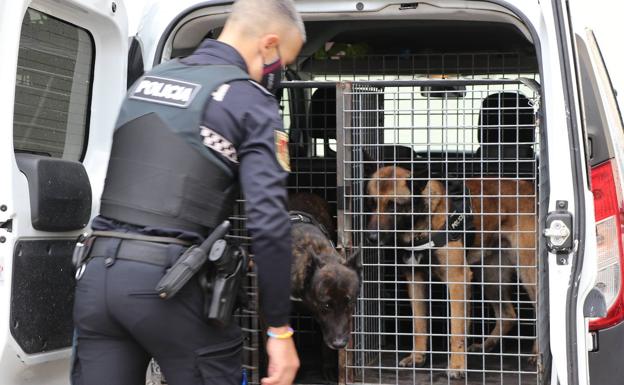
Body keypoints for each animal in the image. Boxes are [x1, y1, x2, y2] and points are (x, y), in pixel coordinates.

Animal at [366, 166, 536, 378]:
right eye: (372, 203)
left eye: (393, 206)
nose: (371, 238)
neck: (423, 225)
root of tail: (530, 188)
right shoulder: (415, 280)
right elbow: (419, 325)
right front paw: (417, 357)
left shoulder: (457, 280)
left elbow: (457, 330)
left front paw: (456, 366)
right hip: (489, 276)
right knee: (508, 315)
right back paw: (485, 346)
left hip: (528, 272)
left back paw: (537, 354)